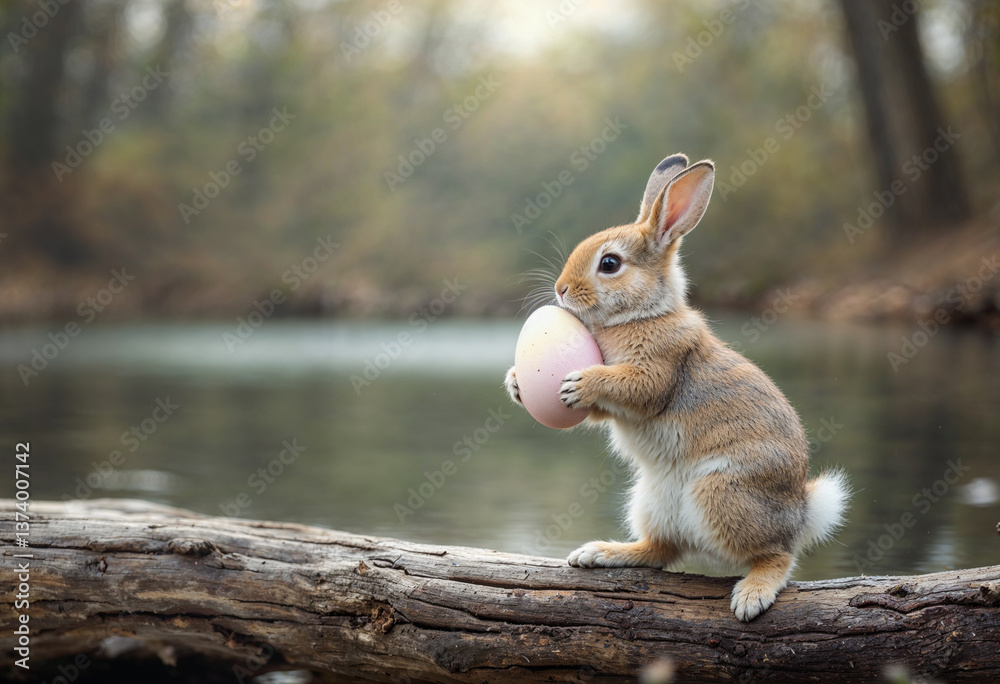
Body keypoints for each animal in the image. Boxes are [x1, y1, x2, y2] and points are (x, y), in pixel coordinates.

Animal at [504, 153, 848, 622]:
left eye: (609, 264)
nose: (561, 290)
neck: (642, 314)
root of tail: (802, 512)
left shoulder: (654, 372)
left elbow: (630, 386)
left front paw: (579, 383)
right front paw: (516, 381)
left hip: (721, 494)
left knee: (776, 555)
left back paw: (752, 595)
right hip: (651, 499)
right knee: (662, 550)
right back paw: (603, 553)